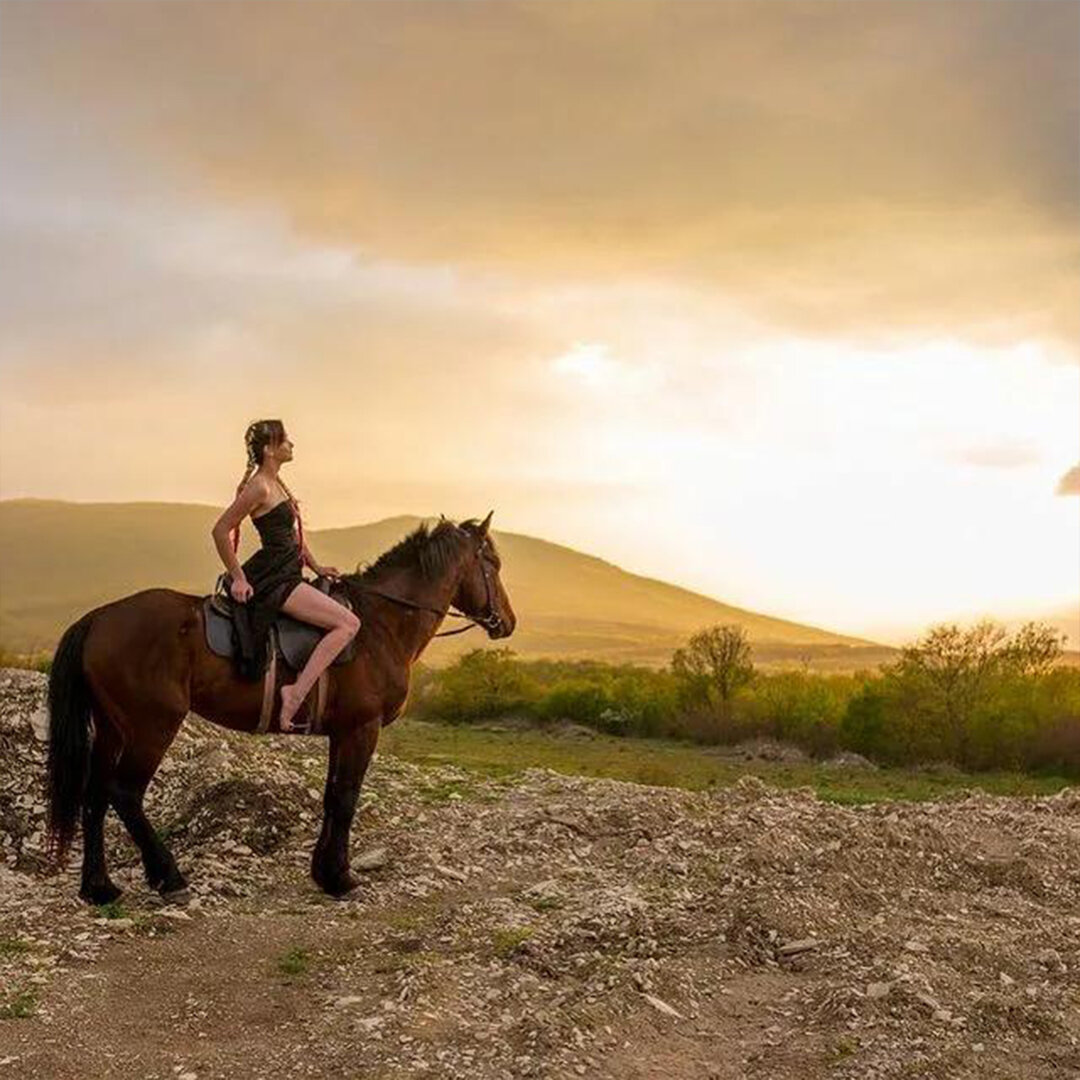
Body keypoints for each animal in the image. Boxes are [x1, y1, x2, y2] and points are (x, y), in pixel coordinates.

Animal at [43, 514, 514, 902]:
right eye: (492, 564)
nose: (508, 622)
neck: (379, 625)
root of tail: (100, 618)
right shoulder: (363, 728)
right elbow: (347, 797)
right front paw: (341, 878)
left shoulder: (342, 731)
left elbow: (332, 796)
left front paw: (324, 872)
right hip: (152, 726)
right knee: (125, 794)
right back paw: (169, 877)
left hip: (112, 727)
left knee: (95, 795)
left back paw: (99, 887)